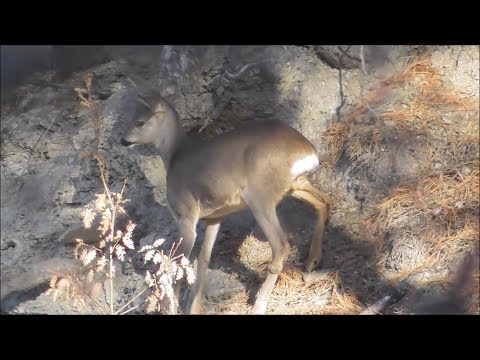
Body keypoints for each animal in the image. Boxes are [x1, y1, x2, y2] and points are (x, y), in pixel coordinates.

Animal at [121, 94, 330, 314]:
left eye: (140, 122)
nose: (123, 140)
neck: (175, 158)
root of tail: (308, 153)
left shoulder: (186, 214)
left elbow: (179, 261)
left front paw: (171, 307)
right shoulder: (215, 217)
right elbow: (203, 259)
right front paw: (194, 308)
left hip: (260, 196)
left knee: (281, 245)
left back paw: (259, 306)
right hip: (295, 185)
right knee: (324, 201)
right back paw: (313, 259)